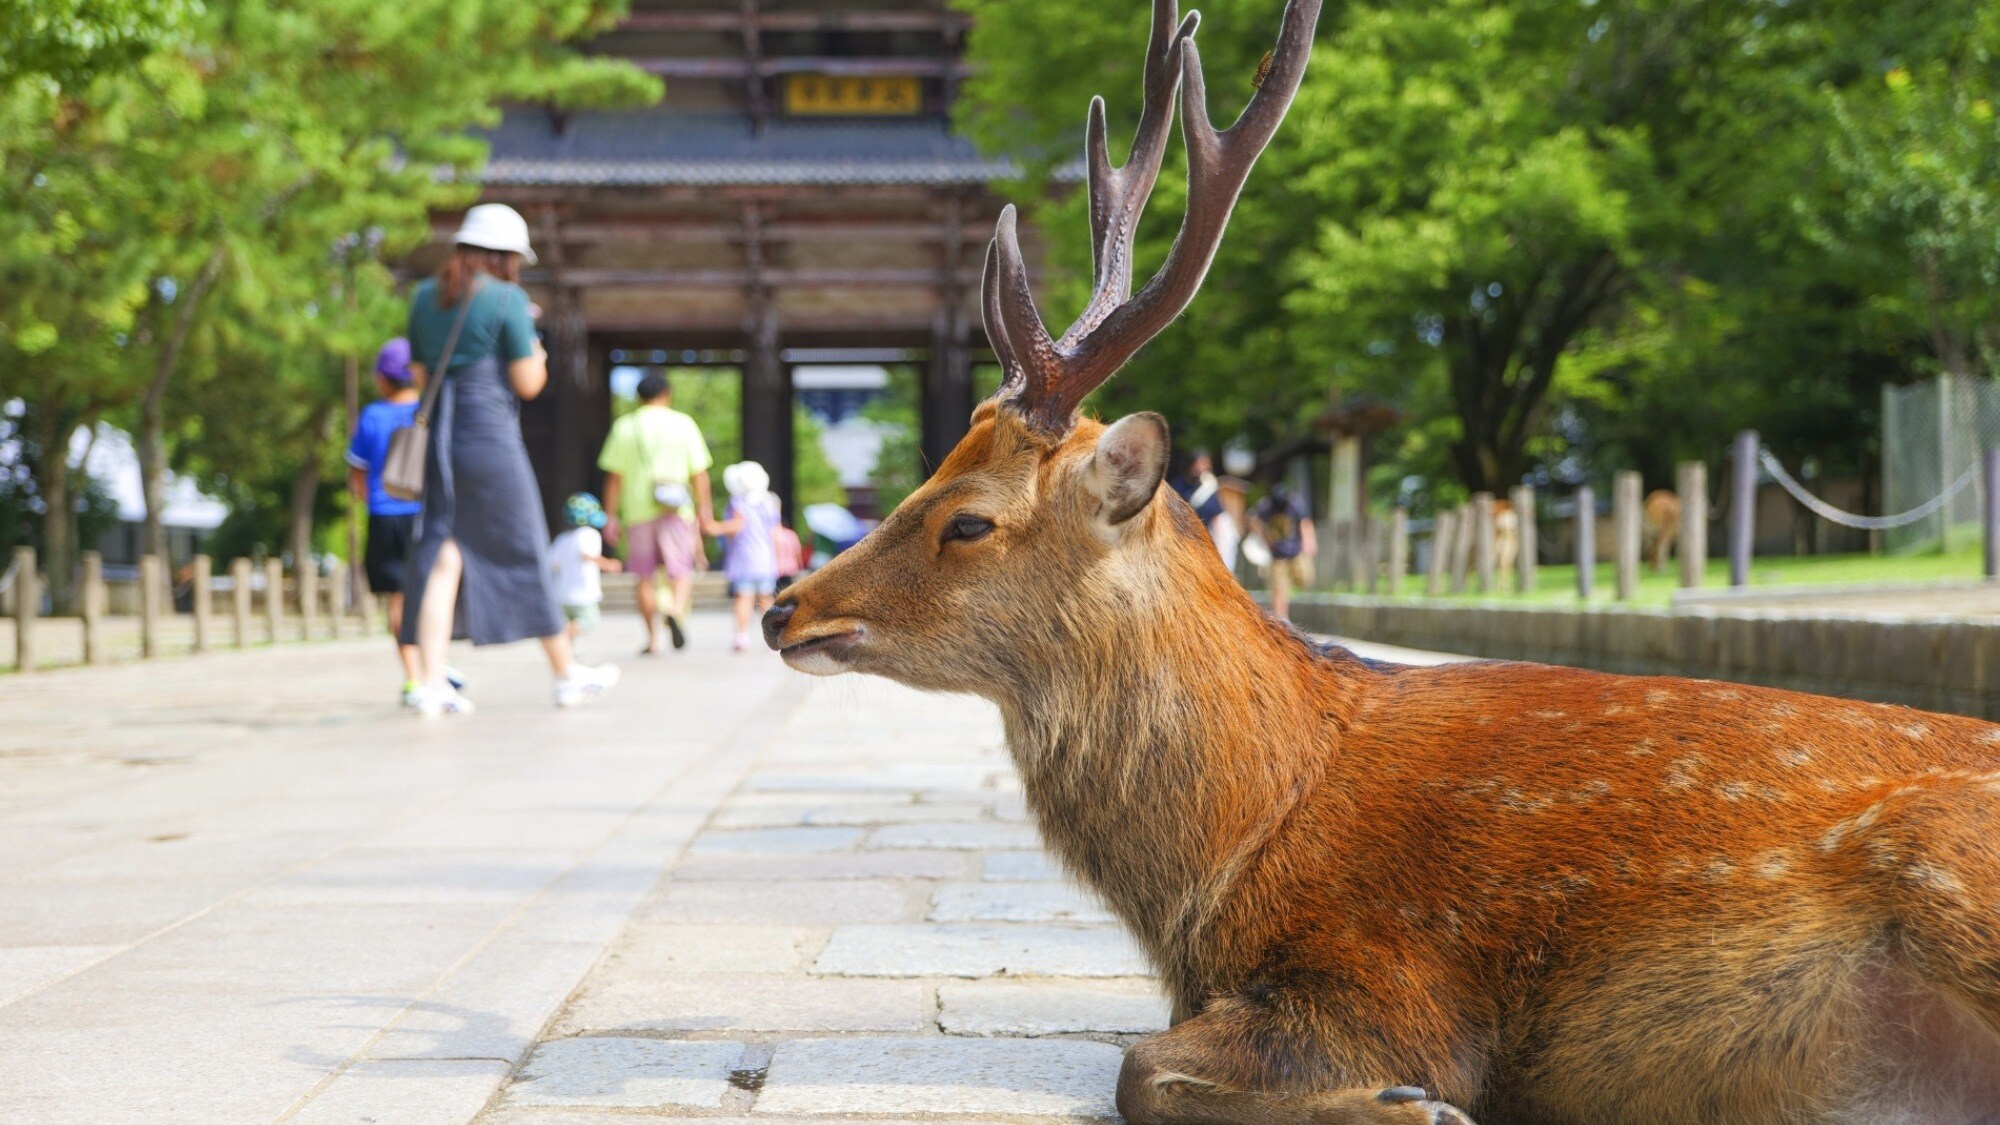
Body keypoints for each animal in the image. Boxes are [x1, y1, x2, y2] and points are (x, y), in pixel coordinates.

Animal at [761, 1, 2000, 1119]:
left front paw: (1408, 1106)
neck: (1227, 855)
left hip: (1952, 877)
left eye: (967, 519)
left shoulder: (1390, 973)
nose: (782, 608)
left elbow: (1139, 1070)